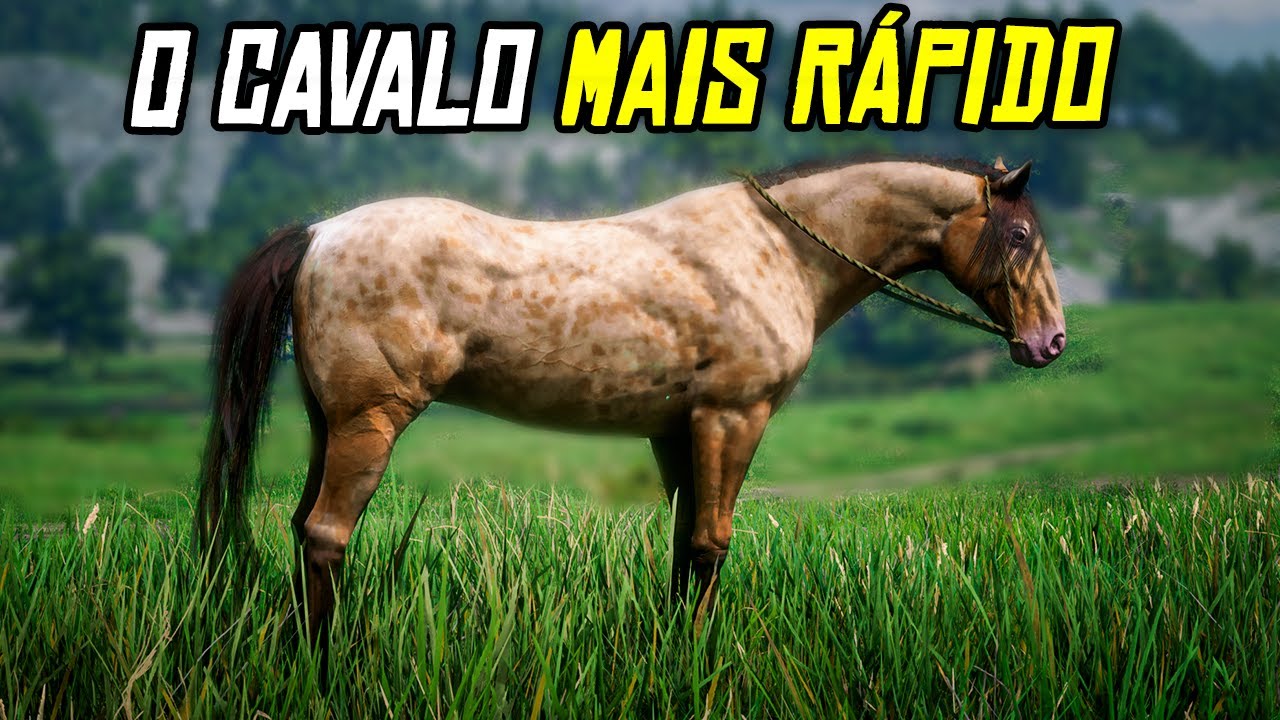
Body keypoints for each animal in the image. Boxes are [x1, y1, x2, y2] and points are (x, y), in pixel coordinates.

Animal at [196, 156, 1065, 640]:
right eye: (1021, 237)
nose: (1049, 341)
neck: (775, 249)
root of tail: (319, 233)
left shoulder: (676, 432)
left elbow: (684, 548)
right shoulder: (731, 417)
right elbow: (711, 545)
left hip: (329, 424)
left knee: (302, 526)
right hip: (370, 422)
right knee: (327, 535)